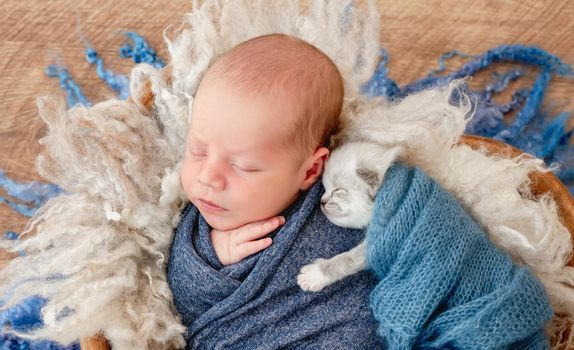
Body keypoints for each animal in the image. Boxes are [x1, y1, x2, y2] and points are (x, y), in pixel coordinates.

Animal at [300, 141, 402, 292]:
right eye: (325, 188)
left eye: (338, 190)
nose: (321, 201)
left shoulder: (384, 240)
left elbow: (347, 259)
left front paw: (315, 274)